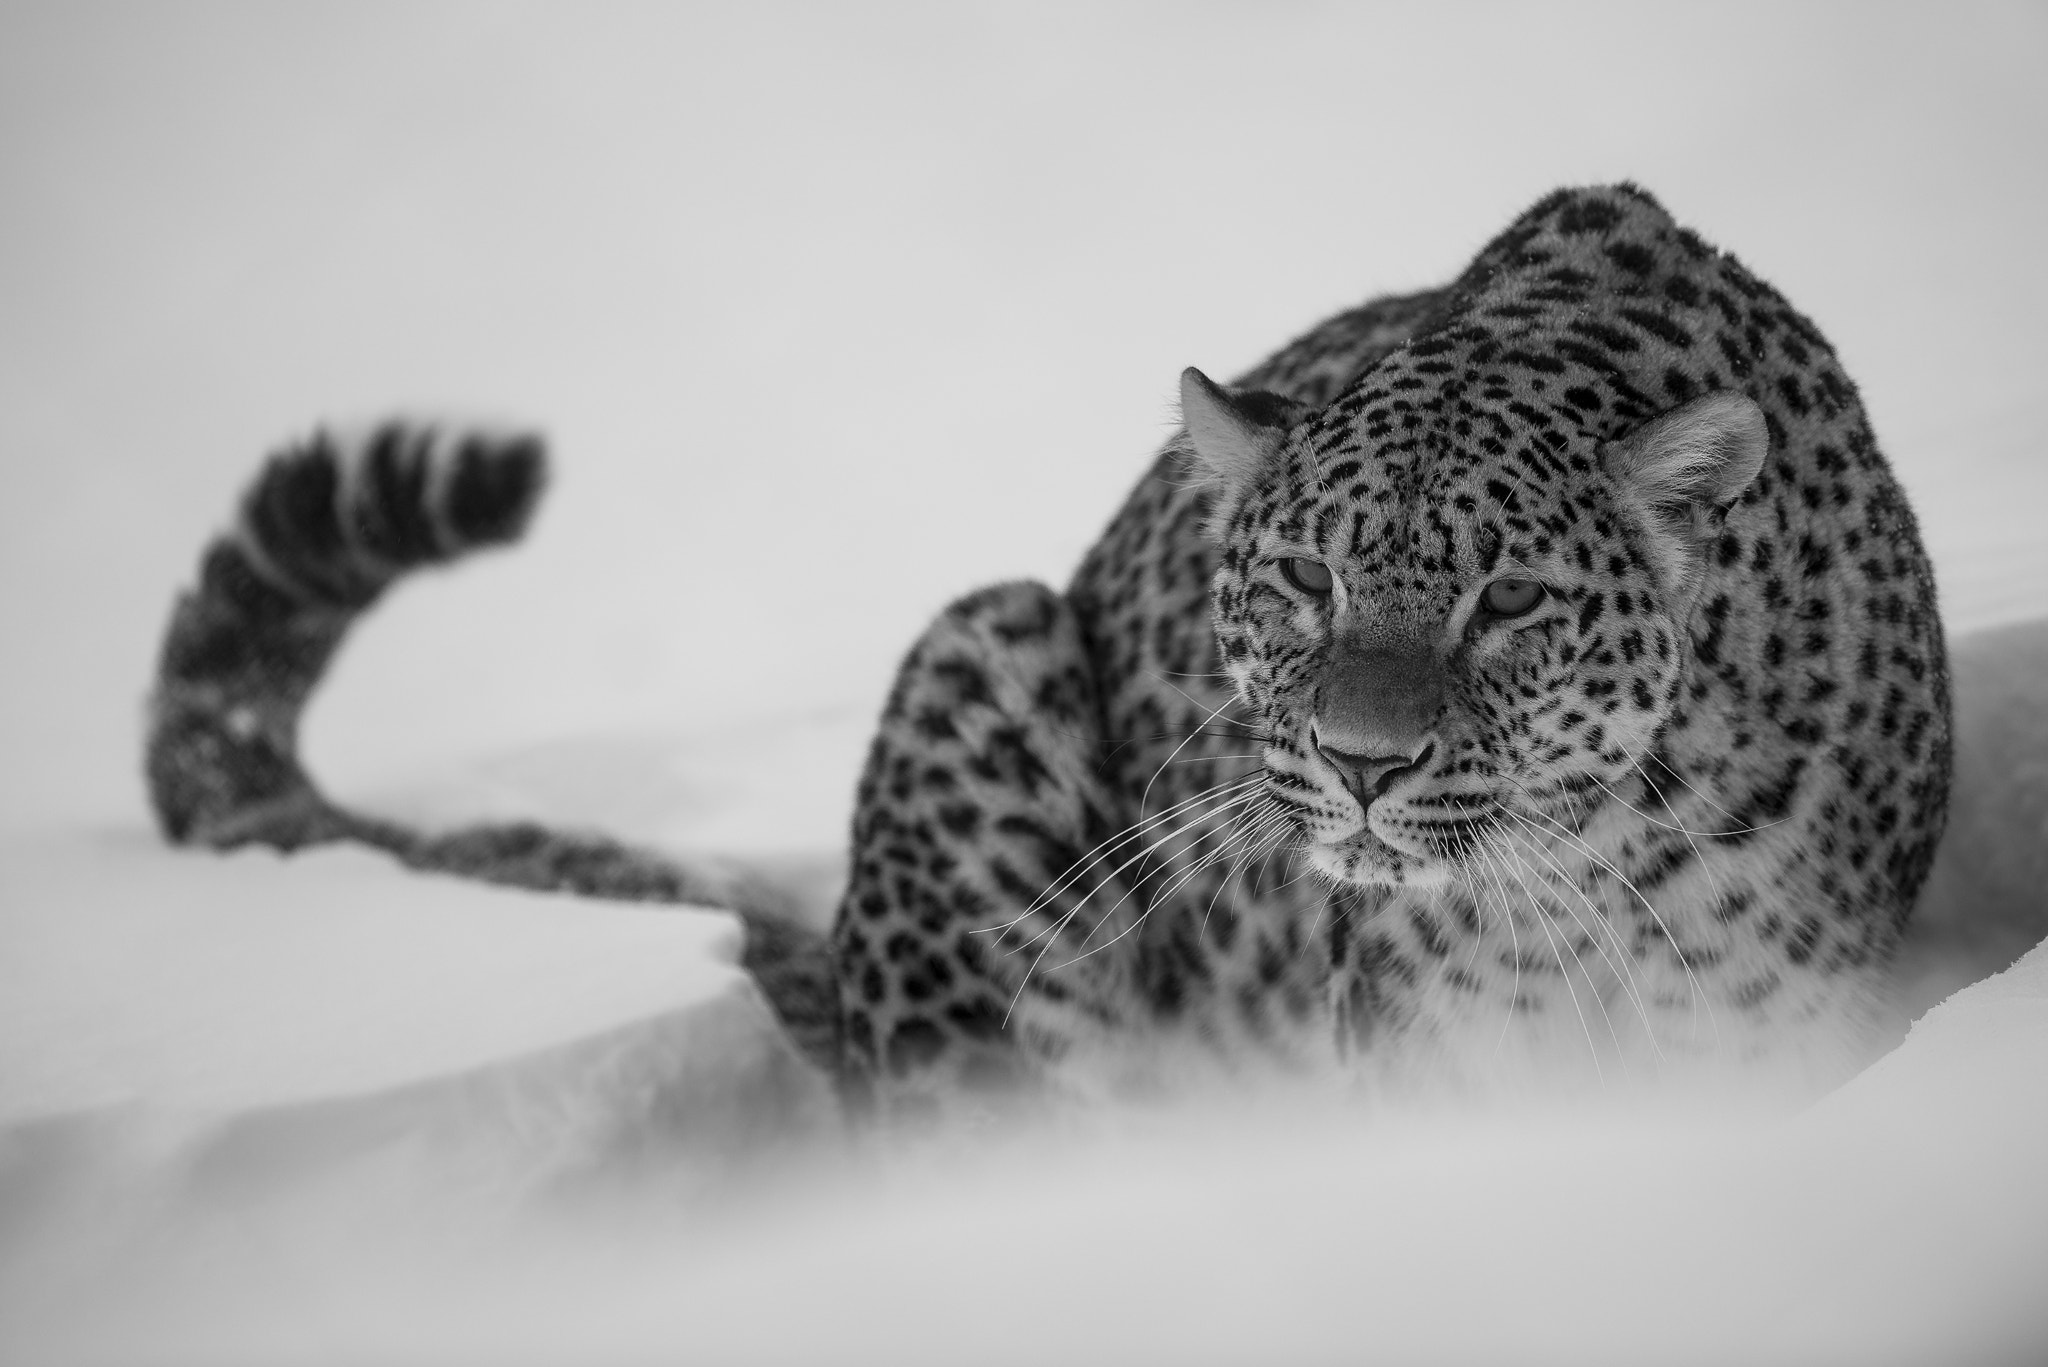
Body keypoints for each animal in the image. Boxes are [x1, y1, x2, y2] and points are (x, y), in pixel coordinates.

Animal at [146, 183, 1950, 1126]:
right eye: (1302, 579)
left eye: (1505, 601)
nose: (1362, 767)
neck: (1584, 881)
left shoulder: (1767, 1037)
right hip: (980, 666)